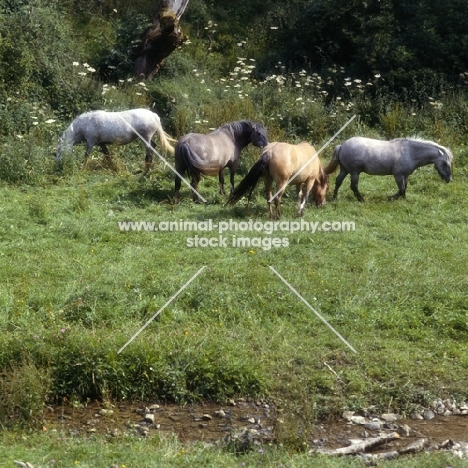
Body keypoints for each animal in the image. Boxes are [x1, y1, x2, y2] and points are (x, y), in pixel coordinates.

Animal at [326, 135, 454, 201]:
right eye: (445, 163)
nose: (449, 179)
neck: (410, 152)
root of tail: (341, 146)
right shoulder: (398, 175)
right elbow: (401, 189)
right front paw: (392, 198)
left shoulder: (405, 175)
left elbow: (404, 188)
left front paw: (402, 199)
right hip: (354, 172)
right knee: (354, 186)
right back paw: (361, 199)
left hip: (345, 170)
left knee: (338, 181)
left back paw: (334, 198)